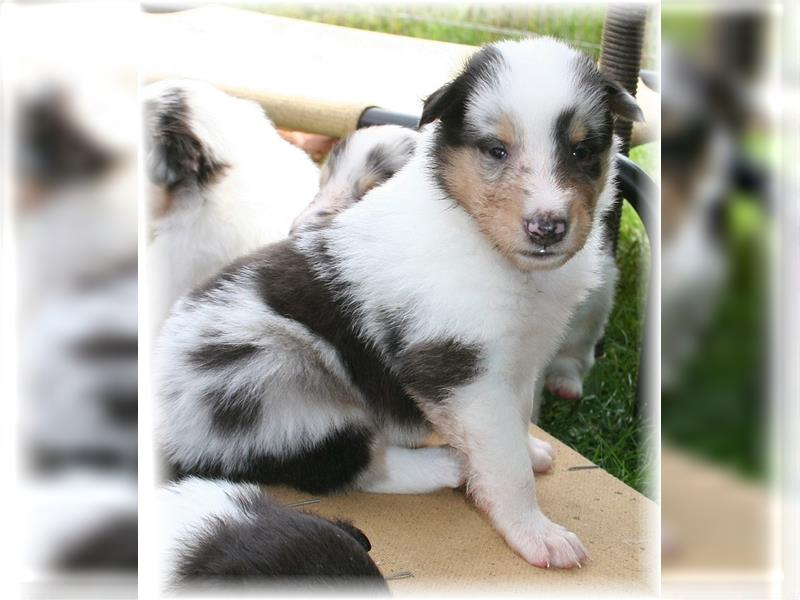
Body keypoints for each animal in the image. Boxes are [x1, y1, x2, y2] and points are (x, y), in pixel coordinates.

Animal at [156, 39, 644, 568]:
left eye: (582, 151)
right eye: (496, 149)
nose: (547, 227)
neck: (481, 239)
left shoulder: (517, 359)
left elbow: (515, 421)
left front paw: (529, 450)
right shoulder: (458, 368)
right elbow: (505, 465)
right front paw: (537, 534)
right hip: (273, 376)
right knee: (346, 465)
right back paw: (443, 464)